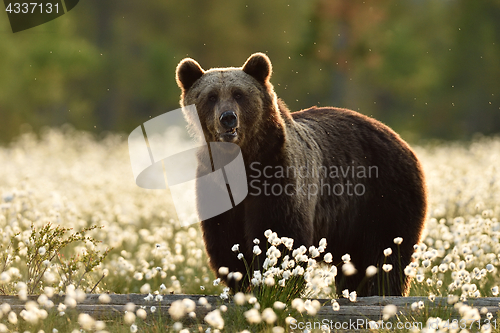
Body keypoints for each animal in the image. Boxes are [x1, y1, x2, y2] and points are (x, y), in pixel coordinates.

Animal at [175, 52, 426, 296]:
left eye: (239, 94)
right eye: (211, 96)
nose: (227, 117)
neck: (243, 162)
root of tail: (401, 140)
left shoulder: (278, 174)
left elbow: (279, 232)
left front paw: (273, 285)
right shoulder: (216, 185)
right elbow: (226, 239)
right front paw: (241, 283)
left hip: (382, 196)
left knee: (386, 253)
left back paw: (383, 291)